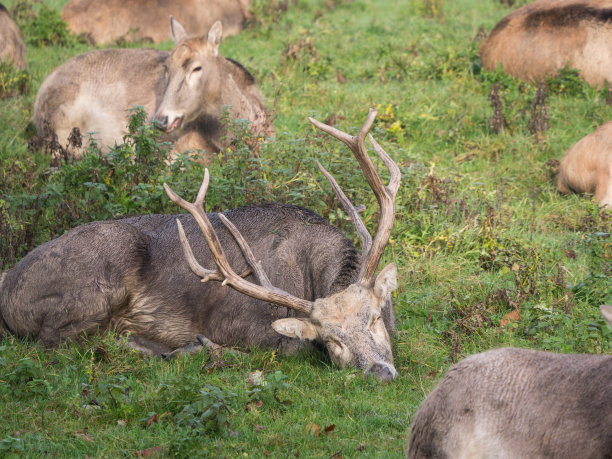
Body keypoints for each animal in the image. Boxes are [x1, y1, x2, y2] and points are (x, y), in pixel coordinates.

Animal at [0, 109, 404, 382]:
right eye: (332, 340)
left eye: (375, 318)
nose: (380, 372)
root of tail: (7, 292)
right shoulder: (235, 321)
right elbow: (292, 347)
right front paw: (203, 346)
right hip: (102, 275)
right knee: (59, 339)